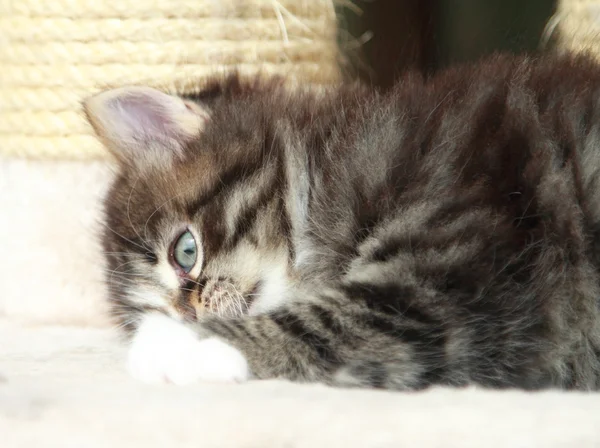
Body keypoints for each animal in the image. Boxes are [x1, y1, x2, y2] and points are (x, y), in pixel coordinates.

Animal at [84, 51, 600, 388]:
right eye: (155, 309)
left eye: (185, 253)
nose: (188, 314)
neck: (327, 167)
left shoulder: (466, 267)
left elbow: (332, 320)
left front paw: (178, 345)